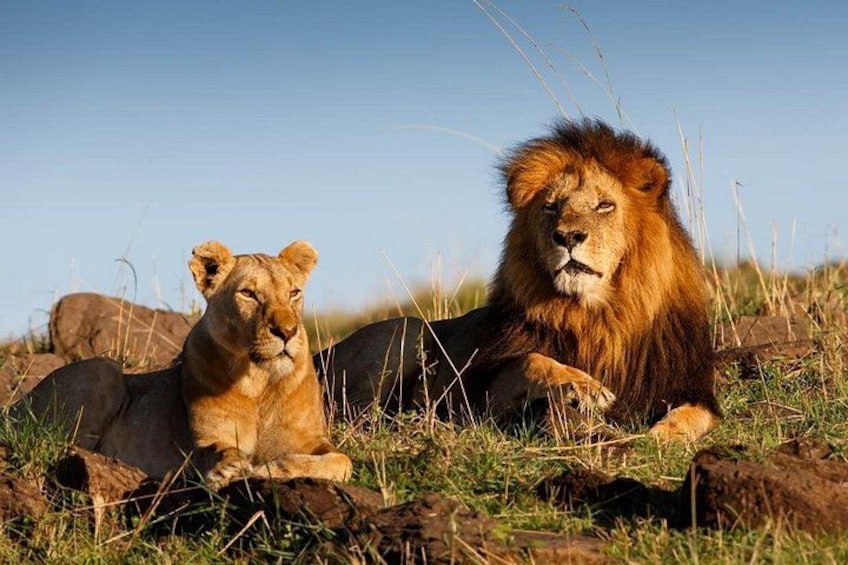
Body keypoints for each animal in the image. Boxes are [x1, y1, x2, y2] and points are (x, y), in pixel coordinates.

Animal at [19, 240, 352, 486]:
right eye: (248, 293)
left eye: (294, 292)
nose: (287, 332)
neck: (259, 380)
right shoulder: (205, 440)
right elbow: (217, 450)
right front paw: (229, 469)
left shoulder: (311, 440)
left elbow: (342, 461)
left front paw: (274, 469)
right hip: (103, 369)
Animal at [317, 119, 720, 441]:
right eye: (551, 207)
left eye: (605, 205)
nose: (567, 236)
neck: (597, 316)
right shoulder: (480, 396)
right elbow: (532, 359)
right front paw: (584, 387)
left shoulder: (688, 386)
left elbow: (694, 415)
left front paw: (661, 436)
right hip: (406, 329)